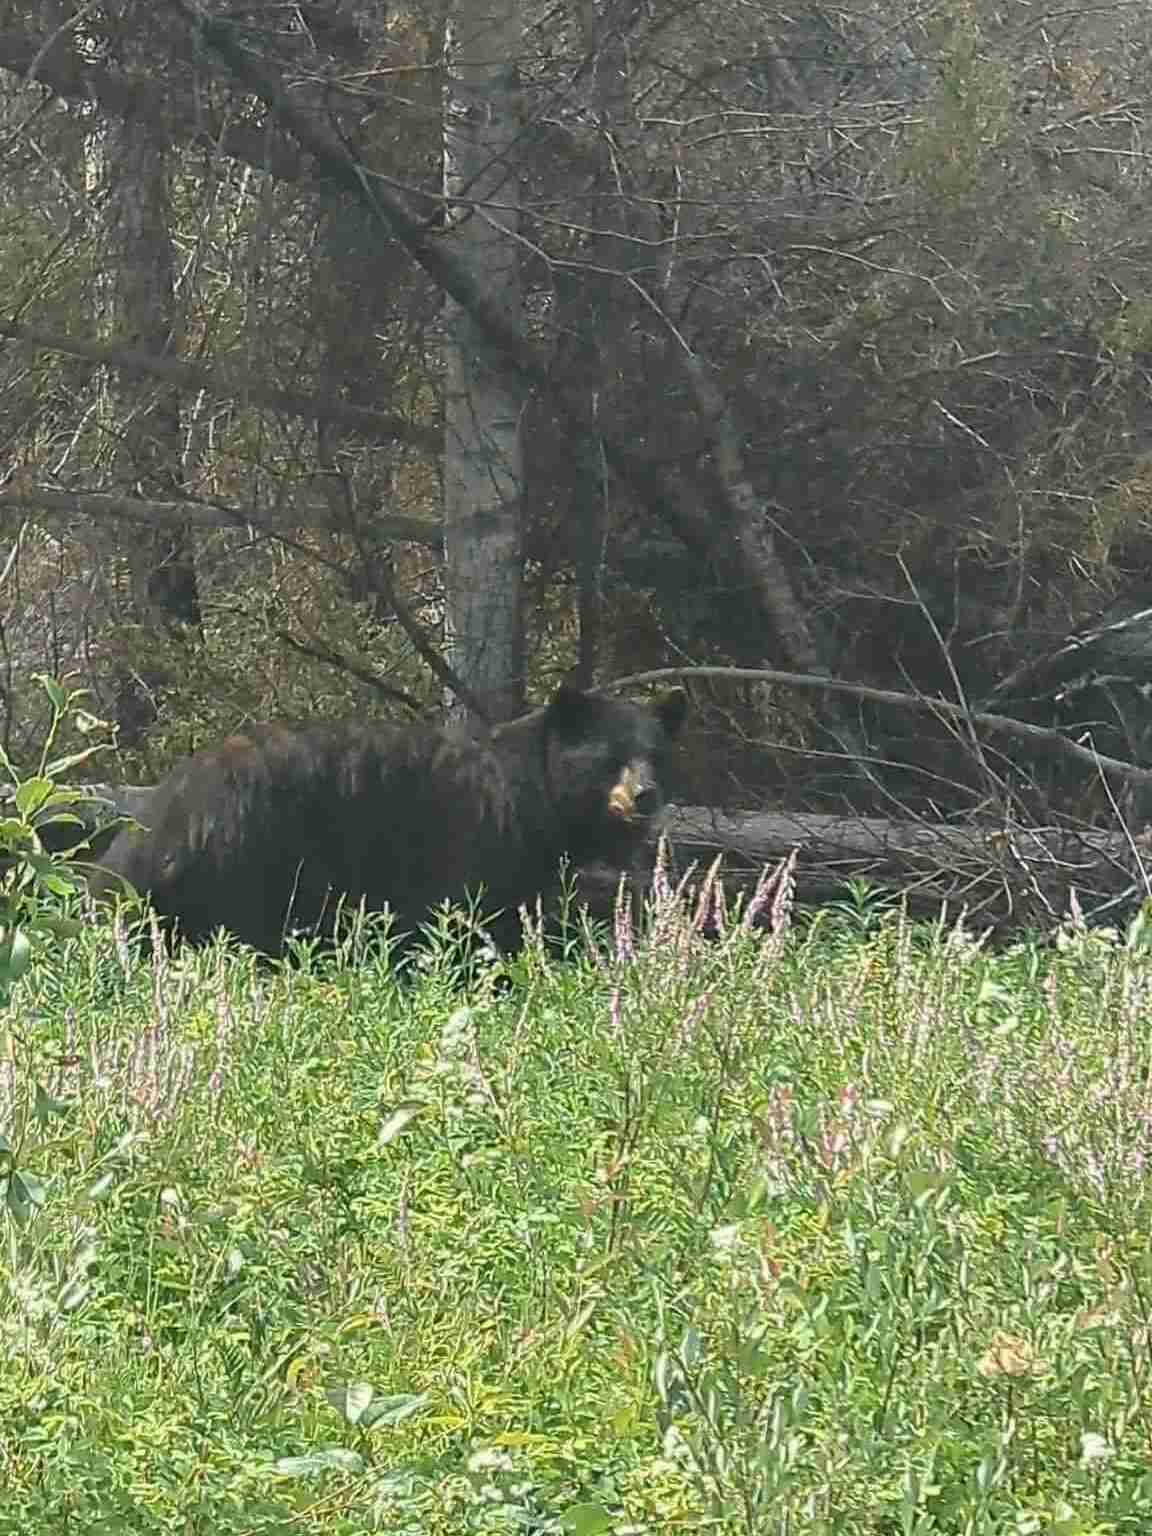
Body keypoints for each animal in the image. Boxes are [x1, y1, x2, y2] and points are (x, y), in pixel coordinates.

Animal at [90, 684, 688, 957]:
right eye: (610, 757)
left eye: (656, 753)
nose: (645, 795)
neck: (534, 800)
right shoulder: (472, 844)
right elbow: (464, 920)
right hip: (250, 859)